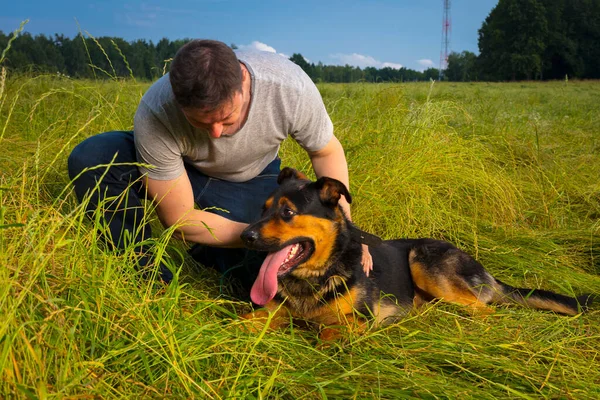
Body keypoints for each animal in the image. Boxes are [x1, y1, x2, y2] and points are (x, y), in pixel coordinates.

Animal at [240, 167, 596, 336]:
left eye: (287, 212)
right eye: (263, 209)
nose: (245, 236)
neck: (319, 273)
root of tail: (487, 274)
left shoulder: (358, 320)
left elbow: (328, 331)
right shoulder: (270, 310)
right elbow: (243, 321)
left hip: (423, 261)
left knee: (485, 310)